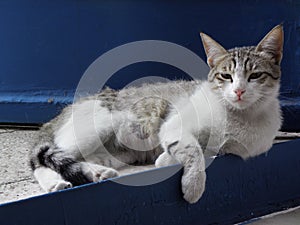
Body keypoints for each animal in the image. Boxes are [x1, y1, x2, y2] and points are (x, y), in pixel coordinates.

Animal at [29, 24, 282, 204]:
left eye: (255, 76)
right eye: (226, 76)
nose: (239, 91)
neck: (240, 117)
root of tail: (62, 112)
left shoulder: (239, 149)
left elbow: (204, 151)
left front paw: (165, 159)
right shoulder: (174, 126)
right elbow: (193, 150)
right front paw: (193, 185)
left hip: (117, 153)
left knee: (79, 159)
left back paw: (97, 173)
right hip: (93, 130)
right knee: (40, 161)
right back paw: (55, 184)